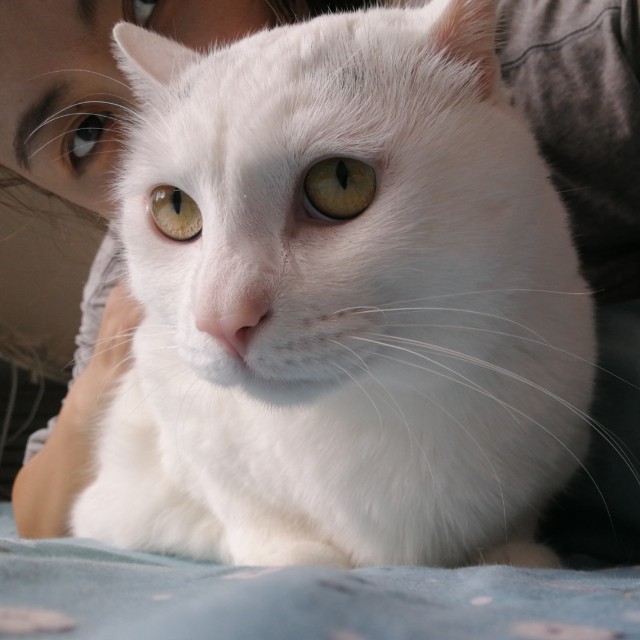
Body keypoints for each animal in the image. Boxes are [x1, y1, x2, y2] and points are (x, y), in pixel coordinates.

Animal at [71, 0, 596, 568]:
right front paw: (291, 554)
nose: (220, 320)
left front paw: (513, 553)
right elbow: (233, 506)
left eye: (341, 181)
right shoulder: (160, 415)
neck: (372, 410)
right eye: (174, 208)